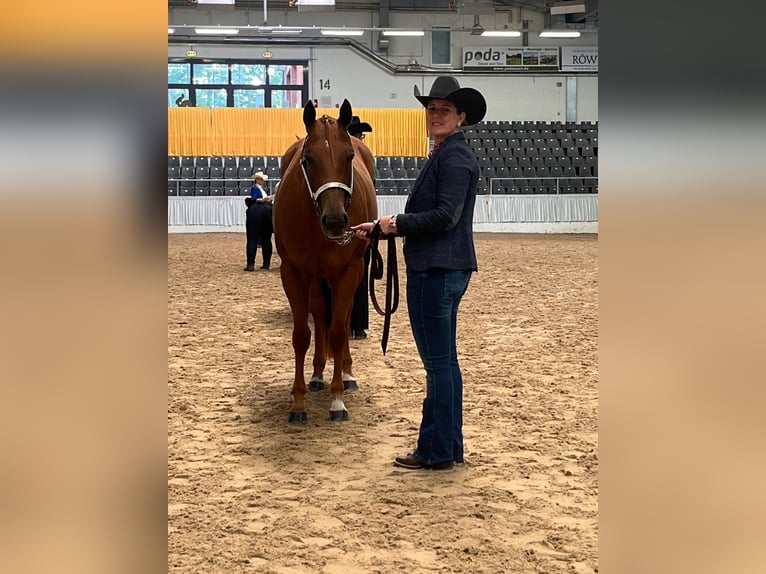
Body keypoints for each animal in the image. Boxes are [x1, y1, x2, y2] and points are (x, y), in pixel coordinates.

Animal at [276, 98, 378, 424]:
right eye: (308, 158)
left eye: (349, 157)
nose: (335, 221)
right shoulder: (294, 274)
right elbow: (301, 335)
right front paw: (298, 402)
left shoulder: (348, 272)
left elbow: (338, 331)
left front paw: (337, 400)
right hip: (316, 279)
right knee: (320, 317)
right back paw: (318, 375)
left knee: (340, 322)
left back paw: (345, 374)